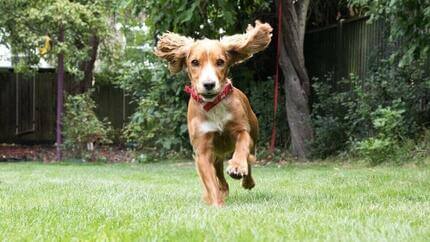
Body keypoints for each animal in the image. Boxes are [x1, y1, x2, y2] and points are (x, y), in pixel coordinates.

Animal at [155, 20, 272, 206]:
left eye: (220, 62)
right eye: (195, 62)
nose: (209, 84)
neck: (213, 105)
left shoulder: (241, 129)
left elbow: (242, 146)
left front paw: (237, 167)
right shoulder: (202, 150)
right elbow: (210, 182)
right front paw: (216, 204)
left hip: (253, 135)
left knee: (249, 159)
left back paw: (247, 180)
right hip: (216, 156)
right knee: (220, 178)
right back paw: (223, 191)